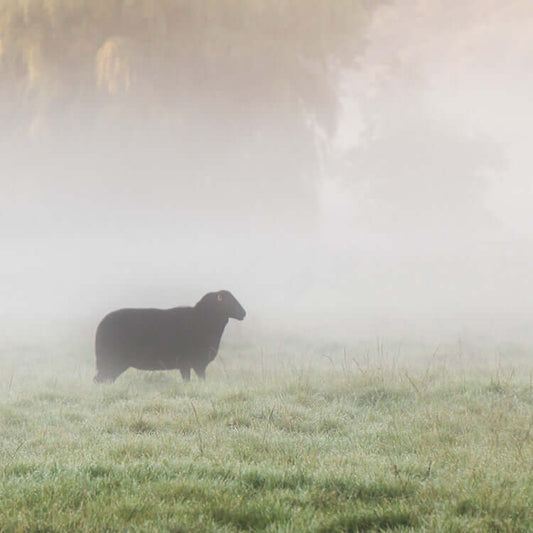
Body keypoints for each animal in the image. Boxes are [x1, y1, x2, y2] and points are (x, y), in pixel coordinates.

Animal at [93, 288, 245, 380]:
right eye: (229, 301)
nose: (244, 313)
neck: (203, 319)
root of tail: (100, 326)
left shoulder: (187, 365)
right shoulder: (194, 363)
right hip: (111, 361)